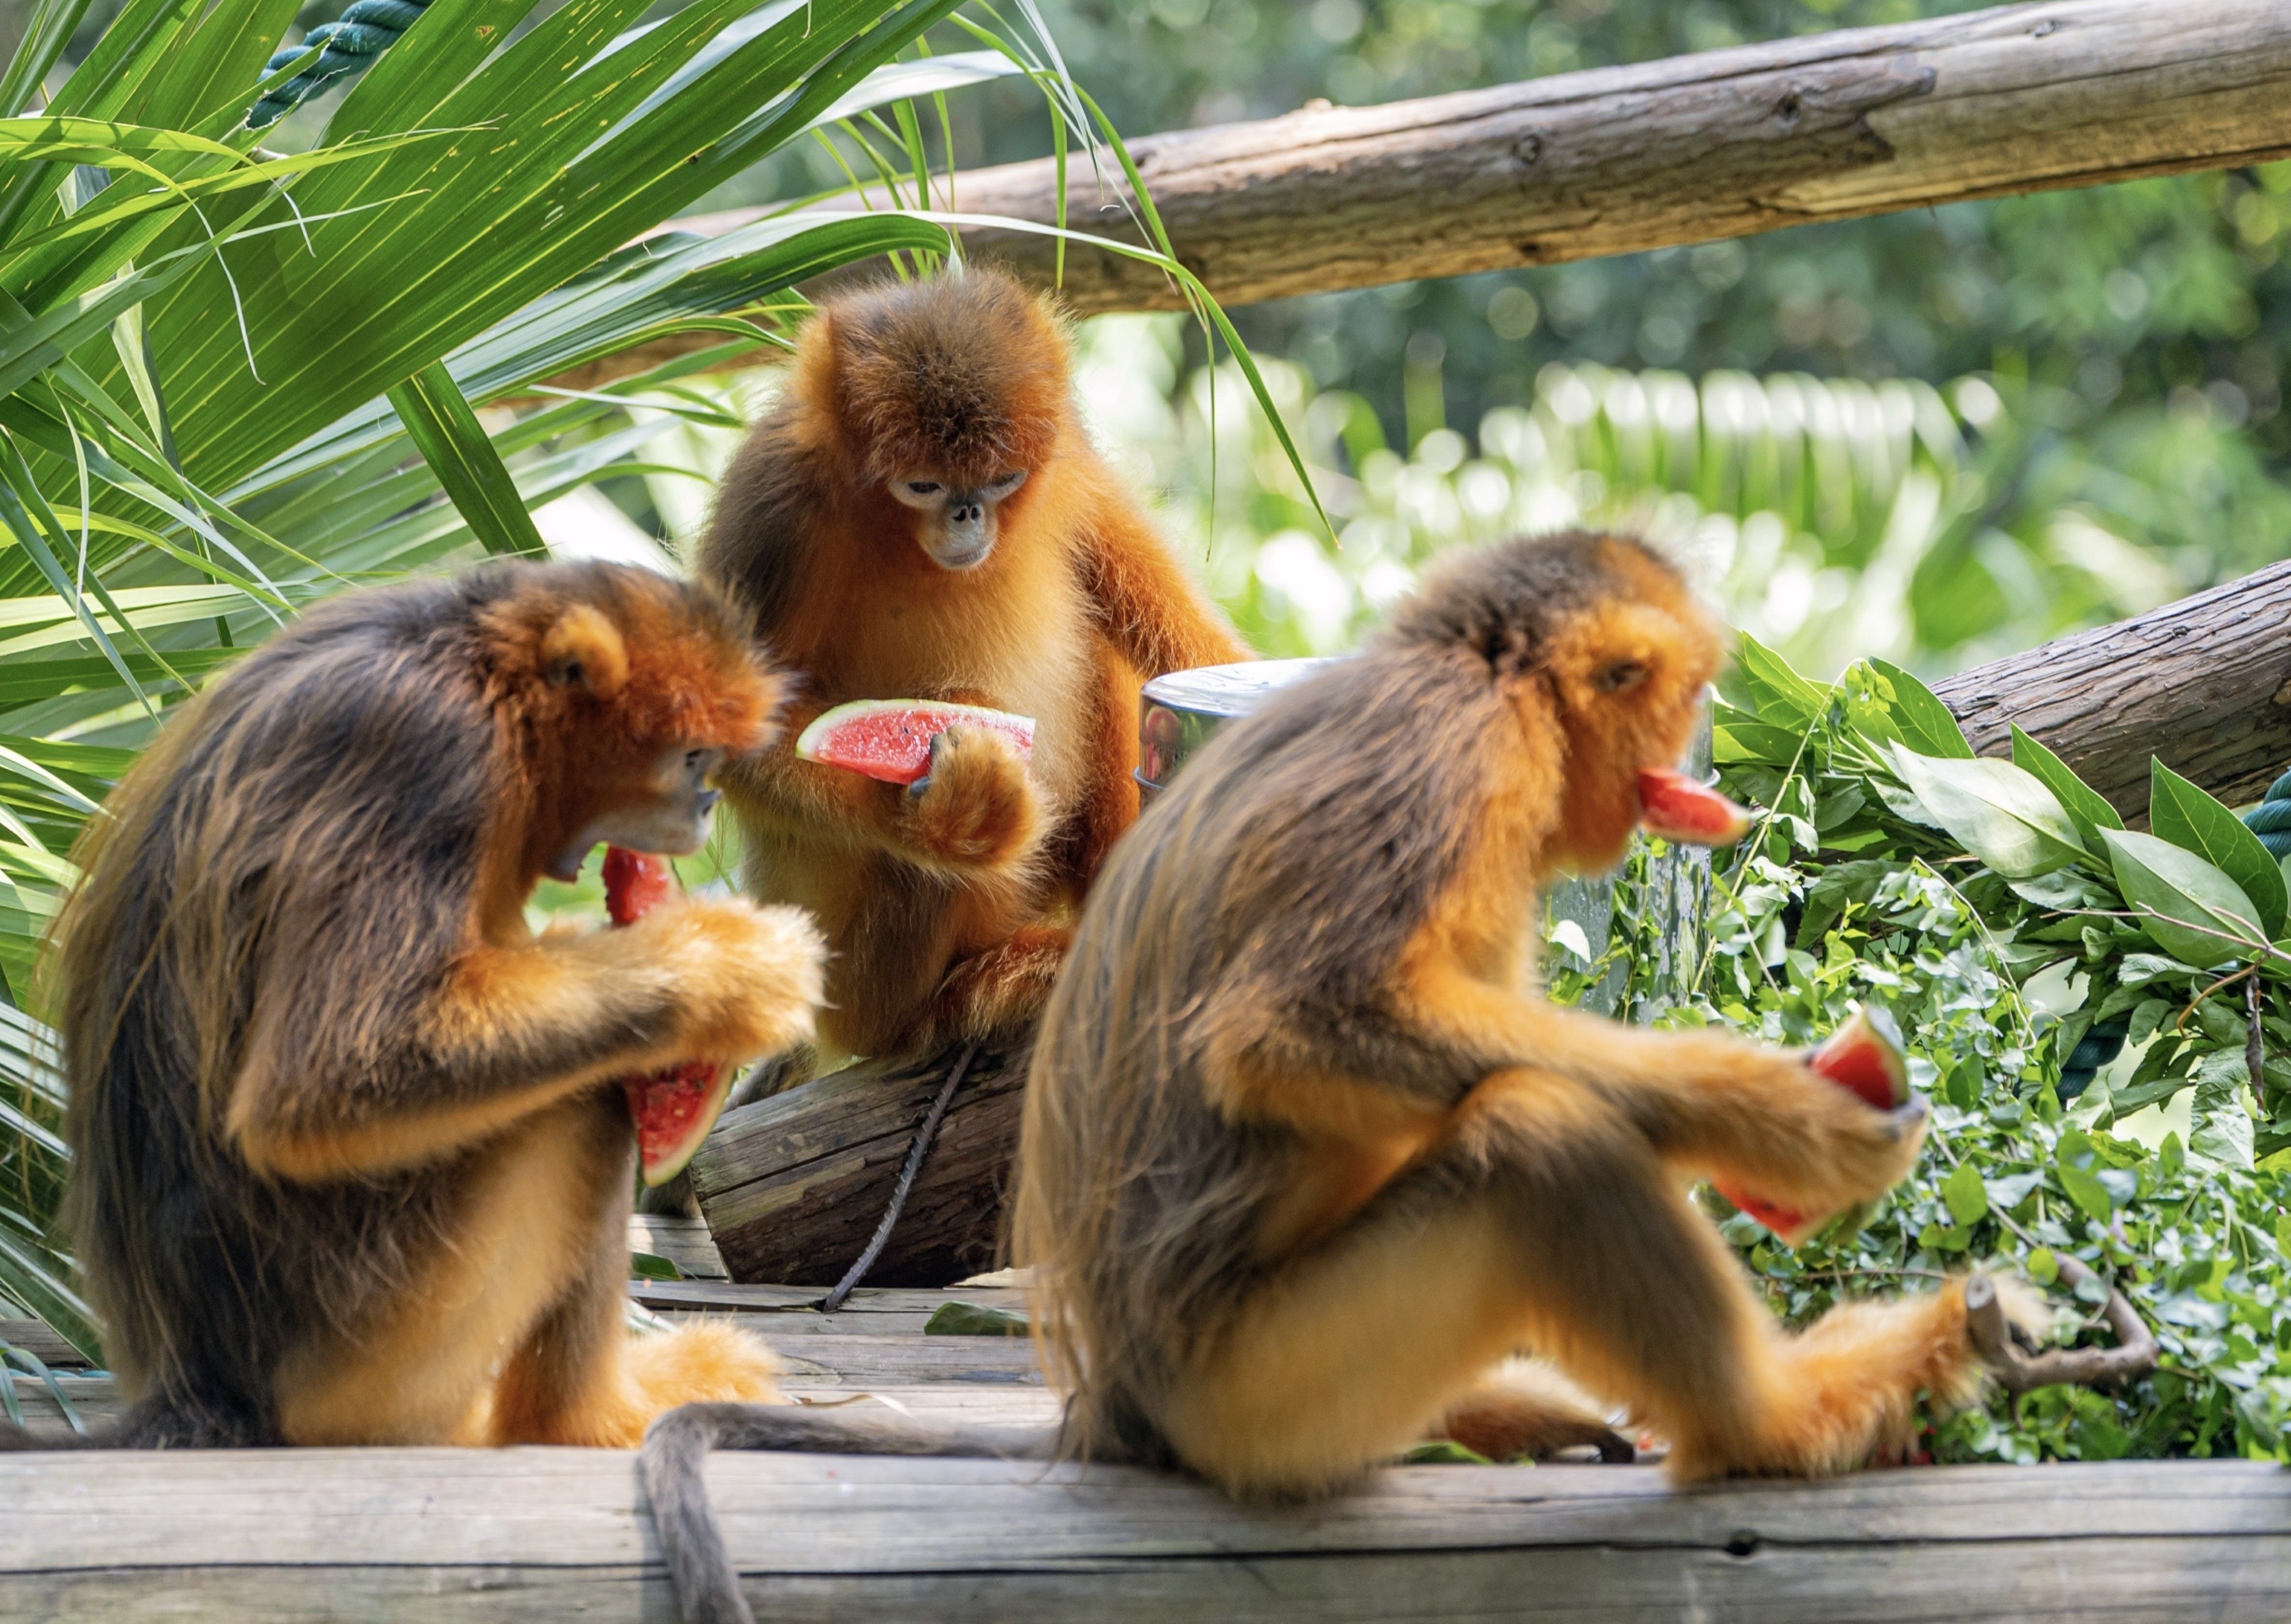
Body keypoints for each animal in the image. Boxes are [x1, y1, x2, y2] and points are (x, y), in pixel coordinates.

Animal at [20, 556, 825, 1447]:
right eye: (691, 759)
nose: (707, 804)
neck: (475, 670)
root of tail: (195, 1387)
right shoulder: (433, 753)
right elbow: (322, 1086)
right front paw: (729, 972)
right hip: (377, 1351)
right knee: (581, 1104)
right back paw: (580, 1419)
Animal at [692, 264, 1246, 1058]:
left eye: (1002, 480)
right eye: (922, 484)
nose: (967, 514)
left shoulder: (1068, 457)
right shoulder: (771, 509)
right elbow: (727, 748)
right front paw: (944, 817)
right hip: (860, 987)